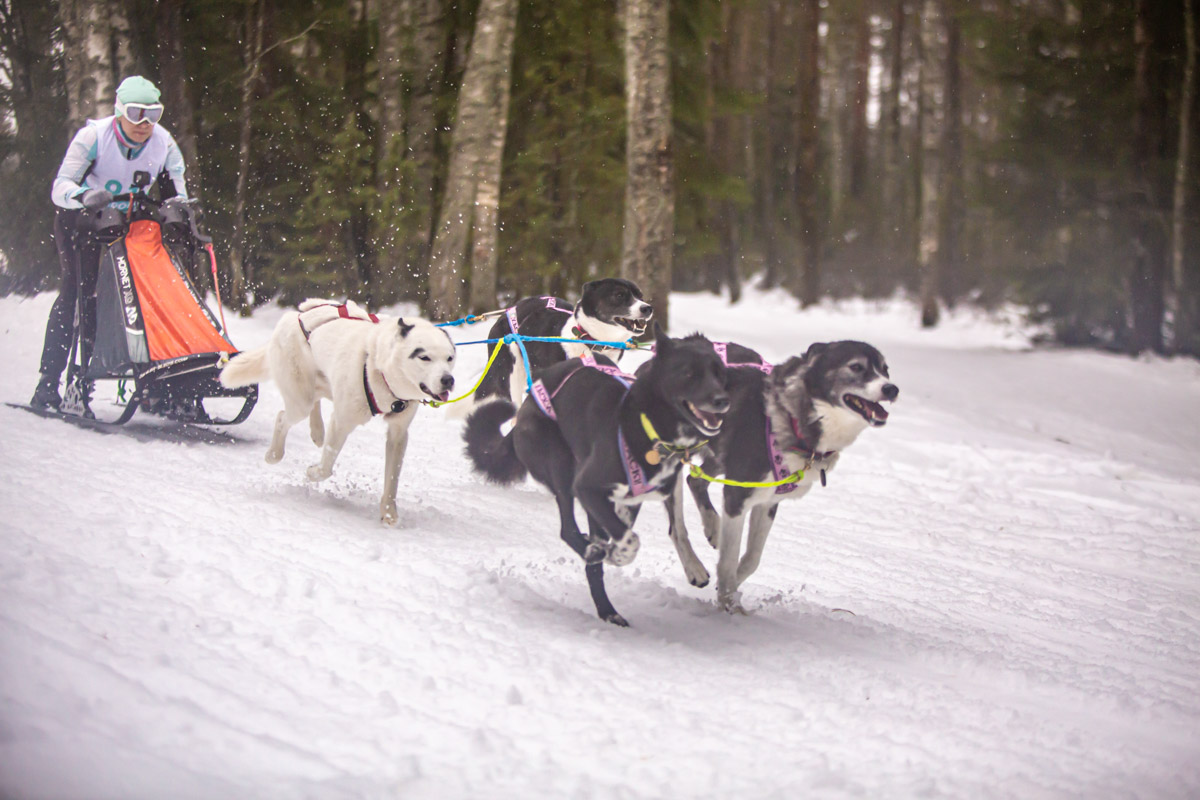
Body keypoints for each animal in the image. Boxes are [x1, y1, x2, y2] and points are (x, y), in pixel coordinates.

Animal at [219, 299, 453, 525]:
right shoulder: (342, 421)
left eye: (450, 358)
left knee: (315, 402)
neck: (377, 366)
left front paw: (388, 513)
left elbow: (392, 479)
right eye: (424, 357)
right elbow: (326, 467)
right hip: (300, 400)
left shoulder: (398, 433)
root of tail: (294, 316)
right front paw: (312, 472)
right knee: (282, 417)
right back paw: (274, 454)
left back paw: (317, 431)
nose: (448, 379)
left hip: (322, 386)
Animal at [667, 340, 902, 614]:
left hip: (718, 458)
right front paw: (729, 606)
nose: (891, 388)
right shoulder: (737, 495)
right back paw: (694, 566)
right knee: (676, 526)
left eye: (885, 369)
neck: (797, 419)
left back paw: (713, 526)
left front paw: (731, 589)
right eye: (856, 367)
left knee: (695, 481)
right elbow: (729, 560)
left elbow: (751, 559)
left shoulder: (768, 502)